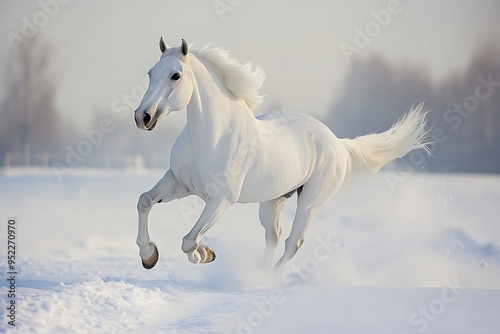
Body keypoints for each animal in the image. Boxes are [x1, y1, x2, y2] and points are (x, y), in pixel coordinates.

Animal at [134, 38, 430, 268]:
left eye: (176, 76)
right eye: (150, 73)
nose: (142, 117)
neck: (210, 139)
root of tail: (338, 143)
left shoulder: (221, 199)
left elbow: (189, 241)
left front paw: (204, 254)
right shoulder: (179, 183)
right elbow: (145, 201)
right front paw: (149, 256)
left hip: (310, 202)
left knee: (292, 242)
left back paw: (268, 280)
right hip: (273, 200)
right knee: (273, 236)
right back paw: (259, 274)